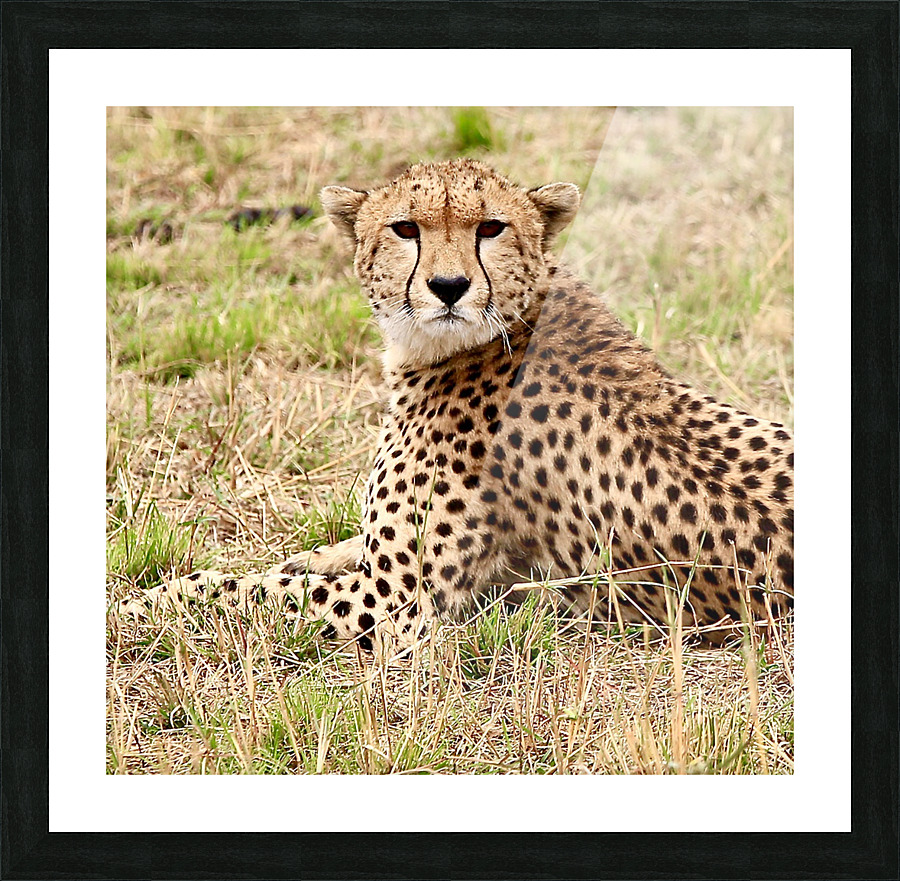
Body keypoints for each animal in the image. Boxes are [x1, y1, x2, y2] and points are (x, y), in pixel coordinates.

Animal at [125, 158, 794, 652]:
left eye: (491, 228)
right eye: (405, 229)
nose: (449, 288)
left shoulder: (398, 604)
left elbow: (243, 589)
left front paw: (148, 599)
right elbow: (309, 560)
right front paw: (301, 557)